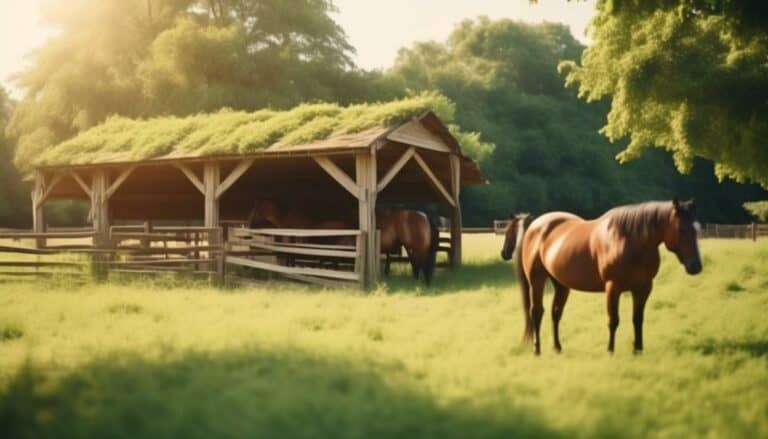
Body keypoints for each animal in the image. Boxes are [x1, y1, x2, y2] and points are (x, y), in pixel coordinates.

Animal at [500, 199, 704, 354]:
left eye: (697, 230)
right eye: (682, 230)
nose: (696, 266)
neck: (628, 241)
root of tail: (535, 226)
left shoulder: (643, 288)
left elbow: (637, 319)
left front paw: (638, 350)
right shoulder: (613, 287)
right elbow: (613, 320)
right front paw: (610, 350)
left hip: (561, 284)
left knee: (555, 313)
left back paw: (557, 348)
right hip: (537, 279)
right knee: (536, 312)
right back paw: (537, 349)